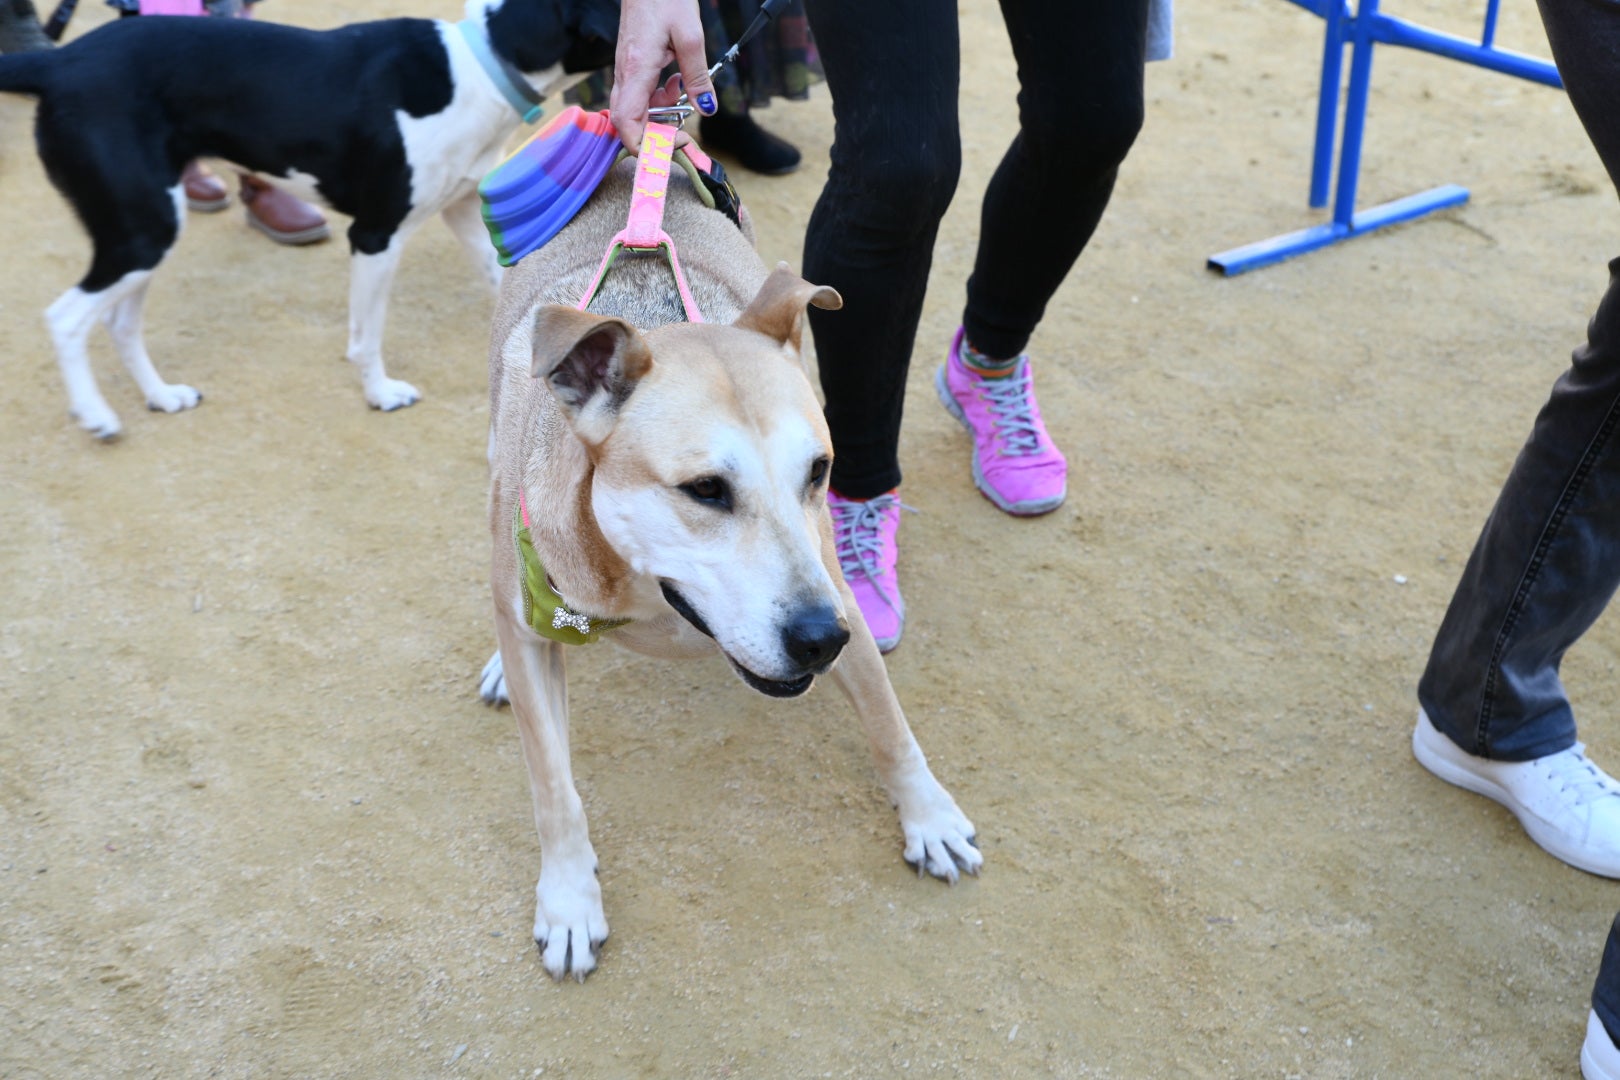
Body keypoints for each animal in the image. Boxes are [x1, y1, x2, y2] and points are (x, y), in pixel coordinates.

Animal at [0, 1, 612, 440]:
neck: (483, 68)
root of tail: (57, 62)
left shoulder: (463, 211)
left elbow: (505, 290)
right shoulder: (375, 235)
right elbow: (366, 336)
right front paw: (380, 393)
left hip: (147, 231)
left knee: (119, 323)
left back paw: (162, 394)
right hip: (143, 232)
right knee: (66, 317)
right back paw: (95, 414)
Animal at [479, 158, 978, 977]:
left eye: (819, 471)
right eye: (706, 490)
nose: (820, 641)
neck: (650, 593)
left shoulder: (834, 587)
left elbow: (888, 721)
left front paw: (928, 815)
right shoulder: (536, 624)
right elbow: (553, 786)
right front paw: (570, 899)